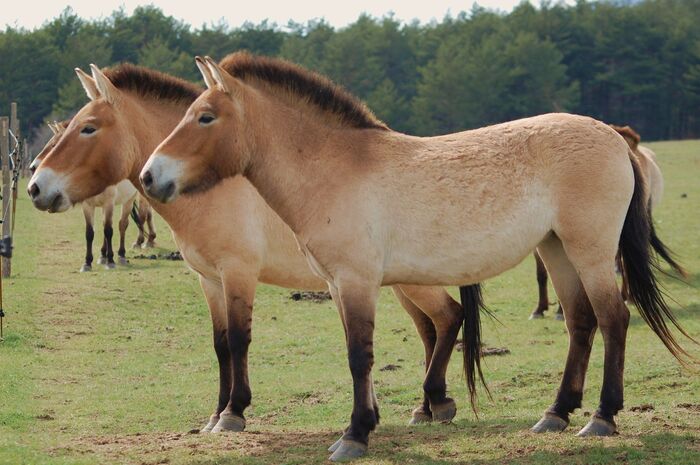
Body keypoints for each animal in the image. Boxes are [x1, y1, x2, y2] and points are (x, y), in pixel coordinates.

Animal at [29, 121, 156, 270]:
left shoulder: (109, 203)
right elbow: (90, 232)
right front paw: (87, 262)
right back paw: (103, 255)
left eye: (54, 145)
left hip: (129, 200)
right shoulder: (88, 205)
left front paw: (111, 260)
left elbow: (109, 230)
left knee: (124, 224)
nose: (33, 167)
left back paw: (122, 254)